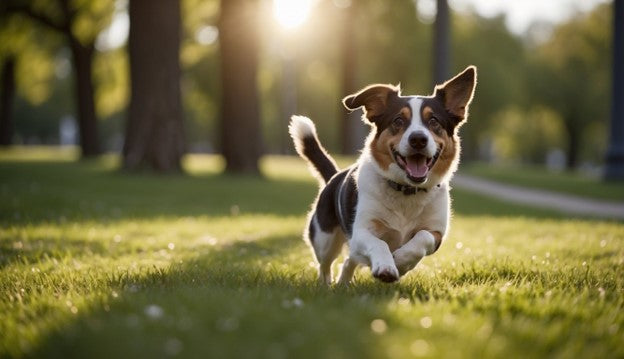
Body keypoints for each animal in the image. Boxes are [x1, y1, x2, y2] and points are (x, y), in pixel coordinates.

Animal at [288, 64, 478, 284]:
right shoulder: (361, 231)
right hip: (324, 239)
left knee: (350, 260)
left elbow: (422, 238)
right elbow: (380, 244)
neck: (407, 190)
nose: (418, 139)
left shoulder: (436, 232)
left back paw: (344, 282)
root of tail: (335, 176)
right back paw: (327, 284)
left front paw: (401, 261)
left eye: (433, 121)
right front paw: (387, 267)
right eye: (398, 120)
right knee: (326, 264)